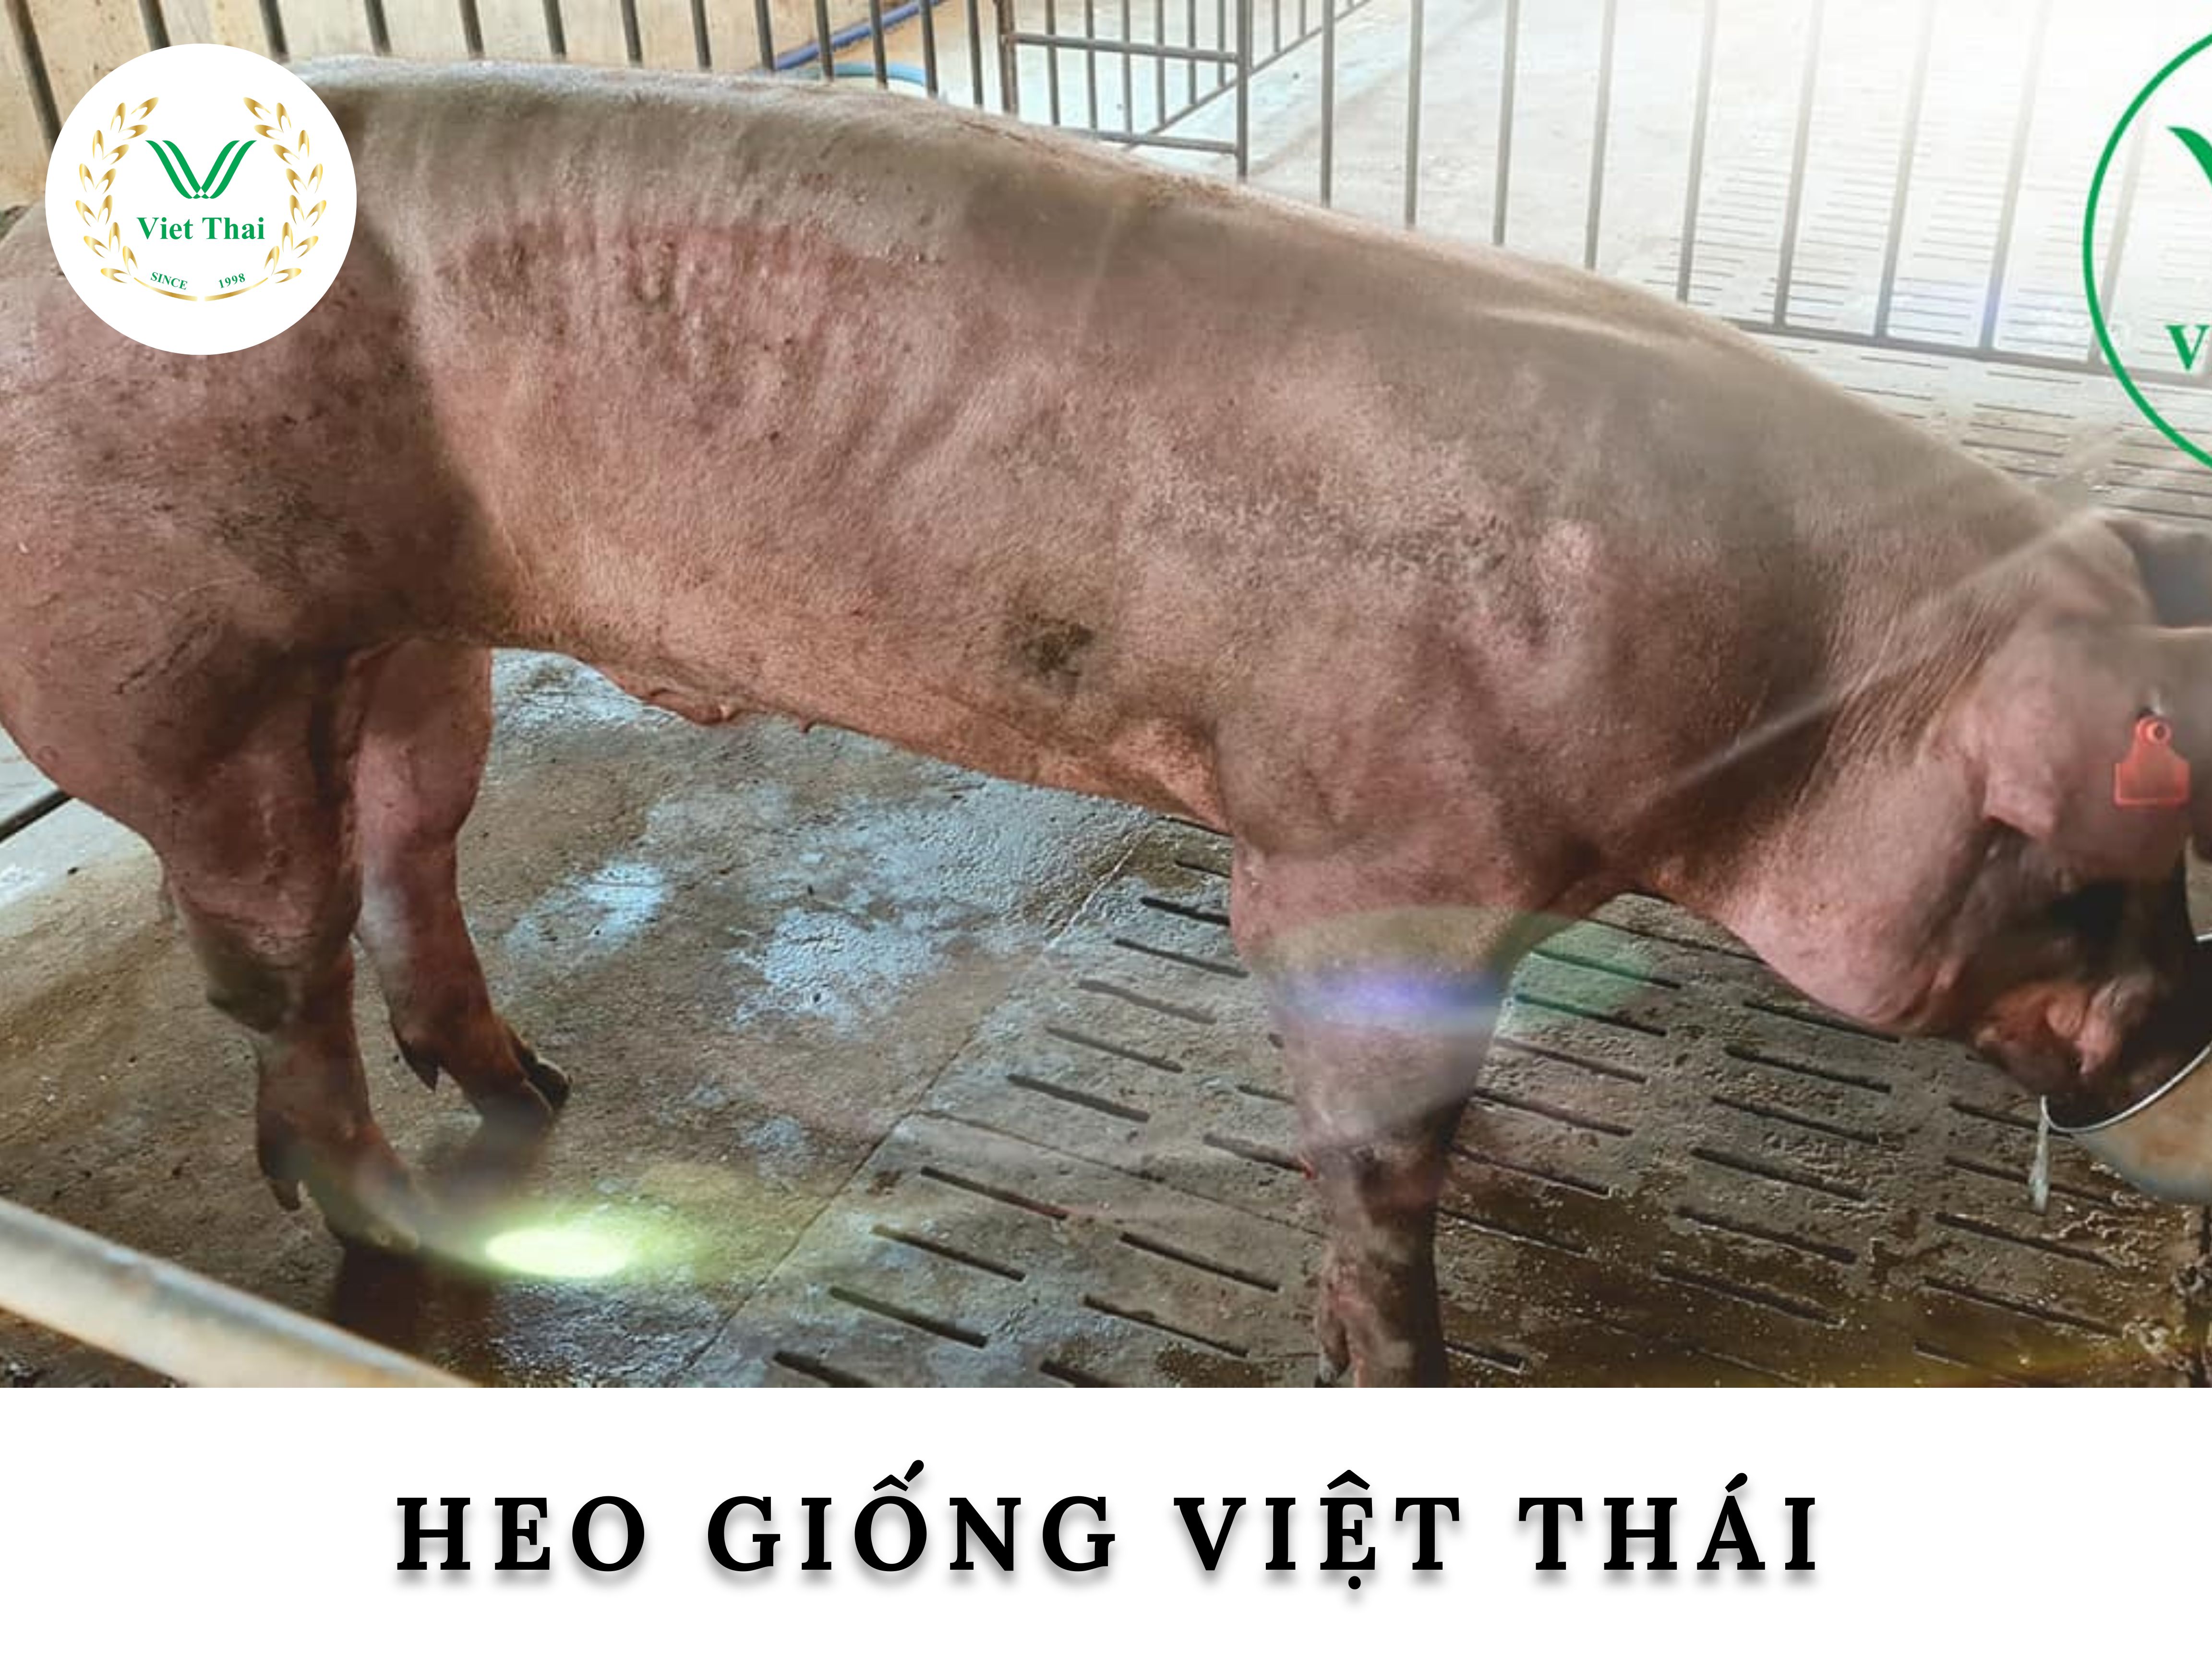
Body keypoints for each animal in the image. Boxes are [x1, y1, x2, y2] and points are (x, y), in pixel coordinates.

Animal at [3, 59, 2211, 1385]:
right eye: (2083, 873)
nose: (2177, 1052)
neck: (1780, 694)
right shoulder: (1357, 846)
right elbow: (1378, 1132)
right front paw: (1404, 1360)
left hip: (410, 640)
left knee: (408, 836)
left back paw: (534, 1091)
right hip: (176, 670)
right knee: (270, 961)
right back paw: (385, 1216)